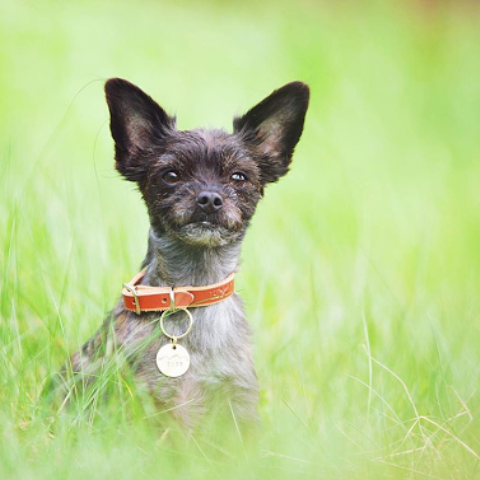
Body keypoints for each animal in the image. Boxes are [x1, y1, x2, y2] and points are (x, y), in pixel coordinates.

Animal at [65, 79, 310, 428]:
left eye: (239, 177)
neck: (194, 293)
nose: (209, 198)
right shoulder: (166, 403)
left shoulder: (240, 399)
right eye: (170, 175)